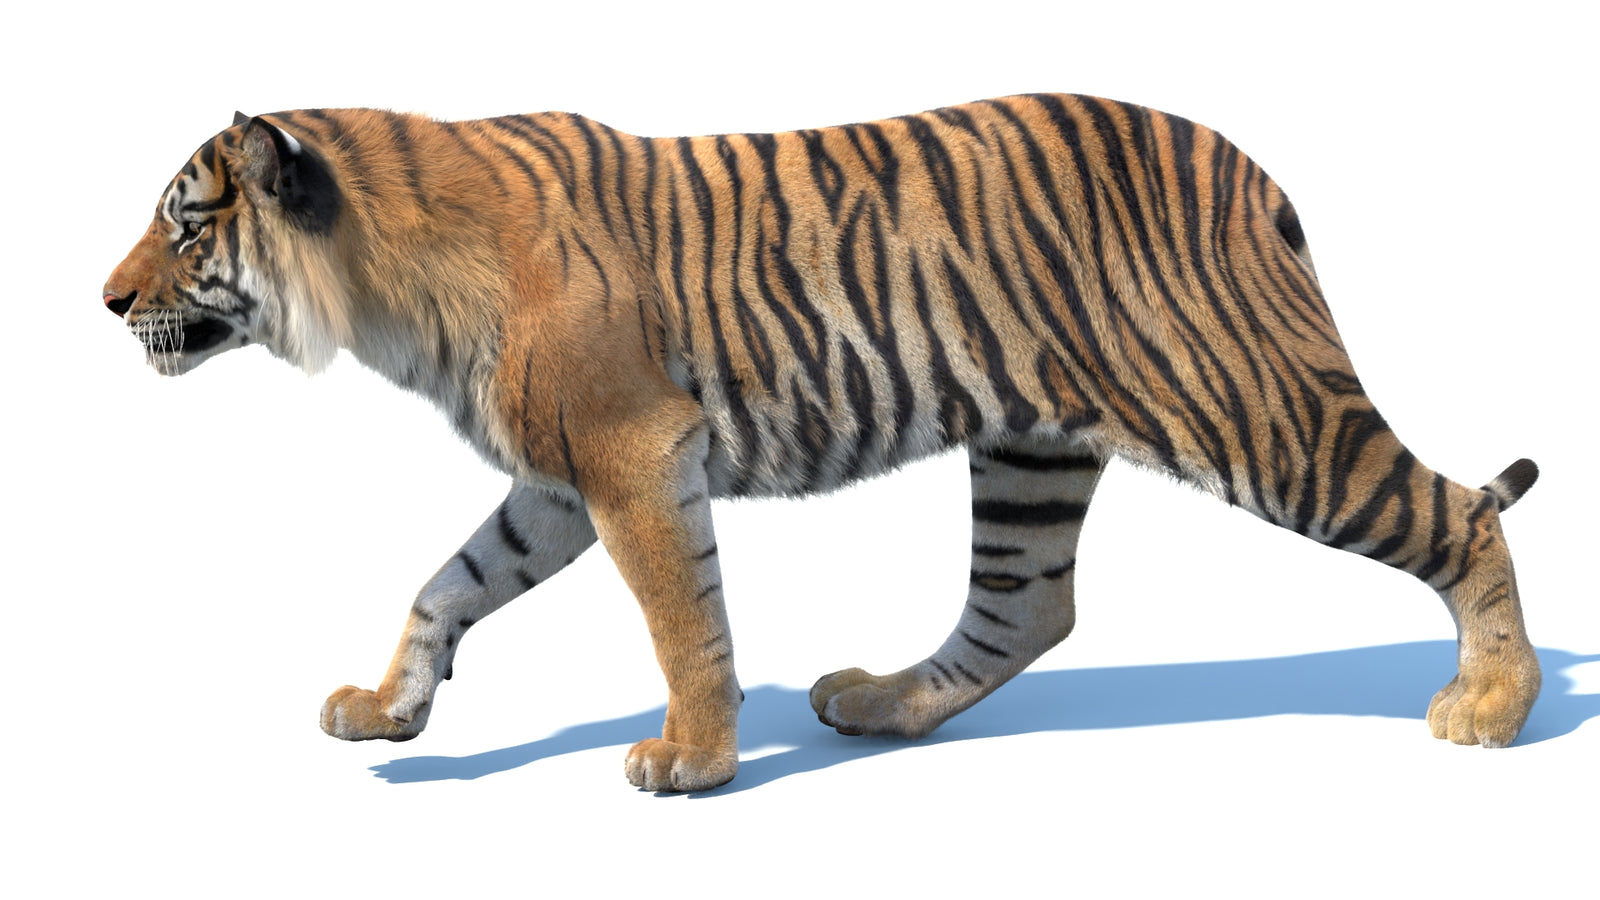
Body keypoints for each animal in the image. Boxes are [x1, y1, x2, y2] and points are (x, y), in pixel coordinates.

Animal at [104, 95, 1541, 792]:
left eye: (184, 224)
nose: (106, 301)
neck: (383, 286)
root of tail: (1249, 167)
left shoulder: (633, 453)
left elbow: (682, 617)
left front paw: (690, 759)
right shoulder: (556, 478)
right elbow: (448, 582)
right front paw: (389, 709)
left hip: (1260, 412)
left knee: (1459, 512)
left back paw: (1491, 708)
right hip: (1030, 447)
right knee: (1027, 609)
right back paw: (880, 705)